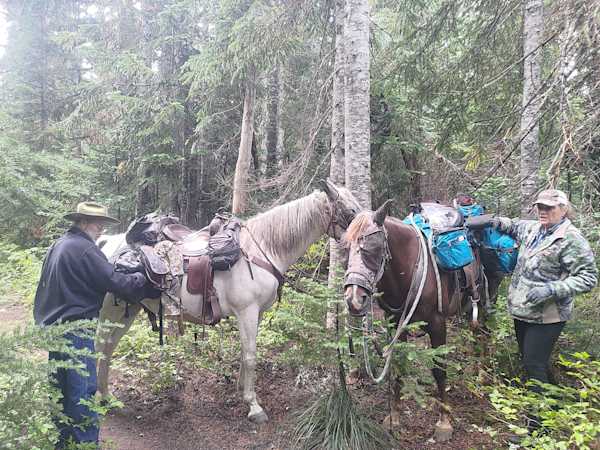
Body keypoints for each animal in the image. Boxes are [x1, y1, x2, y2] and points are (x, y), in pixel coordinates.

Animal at [95, 180, 362, 424]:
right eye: (351, 210)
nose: (366, 237)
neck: (262, 249)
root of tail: (106, 242)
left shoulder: (256, 313)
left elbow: (246, 353)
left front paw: (241, 390)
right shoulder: (247, 311)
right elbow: (251, 355)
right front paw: (254, 406)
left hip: (128, 311)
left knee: (109, 347)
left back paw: (108, 397)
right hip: (109, 311)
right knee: (100, 346)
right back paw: (99, 398)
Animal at [342, 201, 503, 442]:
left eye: (375, 246)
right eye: (345, 247)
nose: (354, 299)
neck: (410, 270)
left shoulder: (437, 324)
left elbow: (439, 370)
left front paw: (444, 422)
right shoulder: (395, 323)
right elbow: (397, 367)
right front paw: (395, 417)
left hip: (486, 300)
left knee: (484, 333)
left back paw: (483, 375)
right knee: (476, 334)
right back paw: (476, 372)